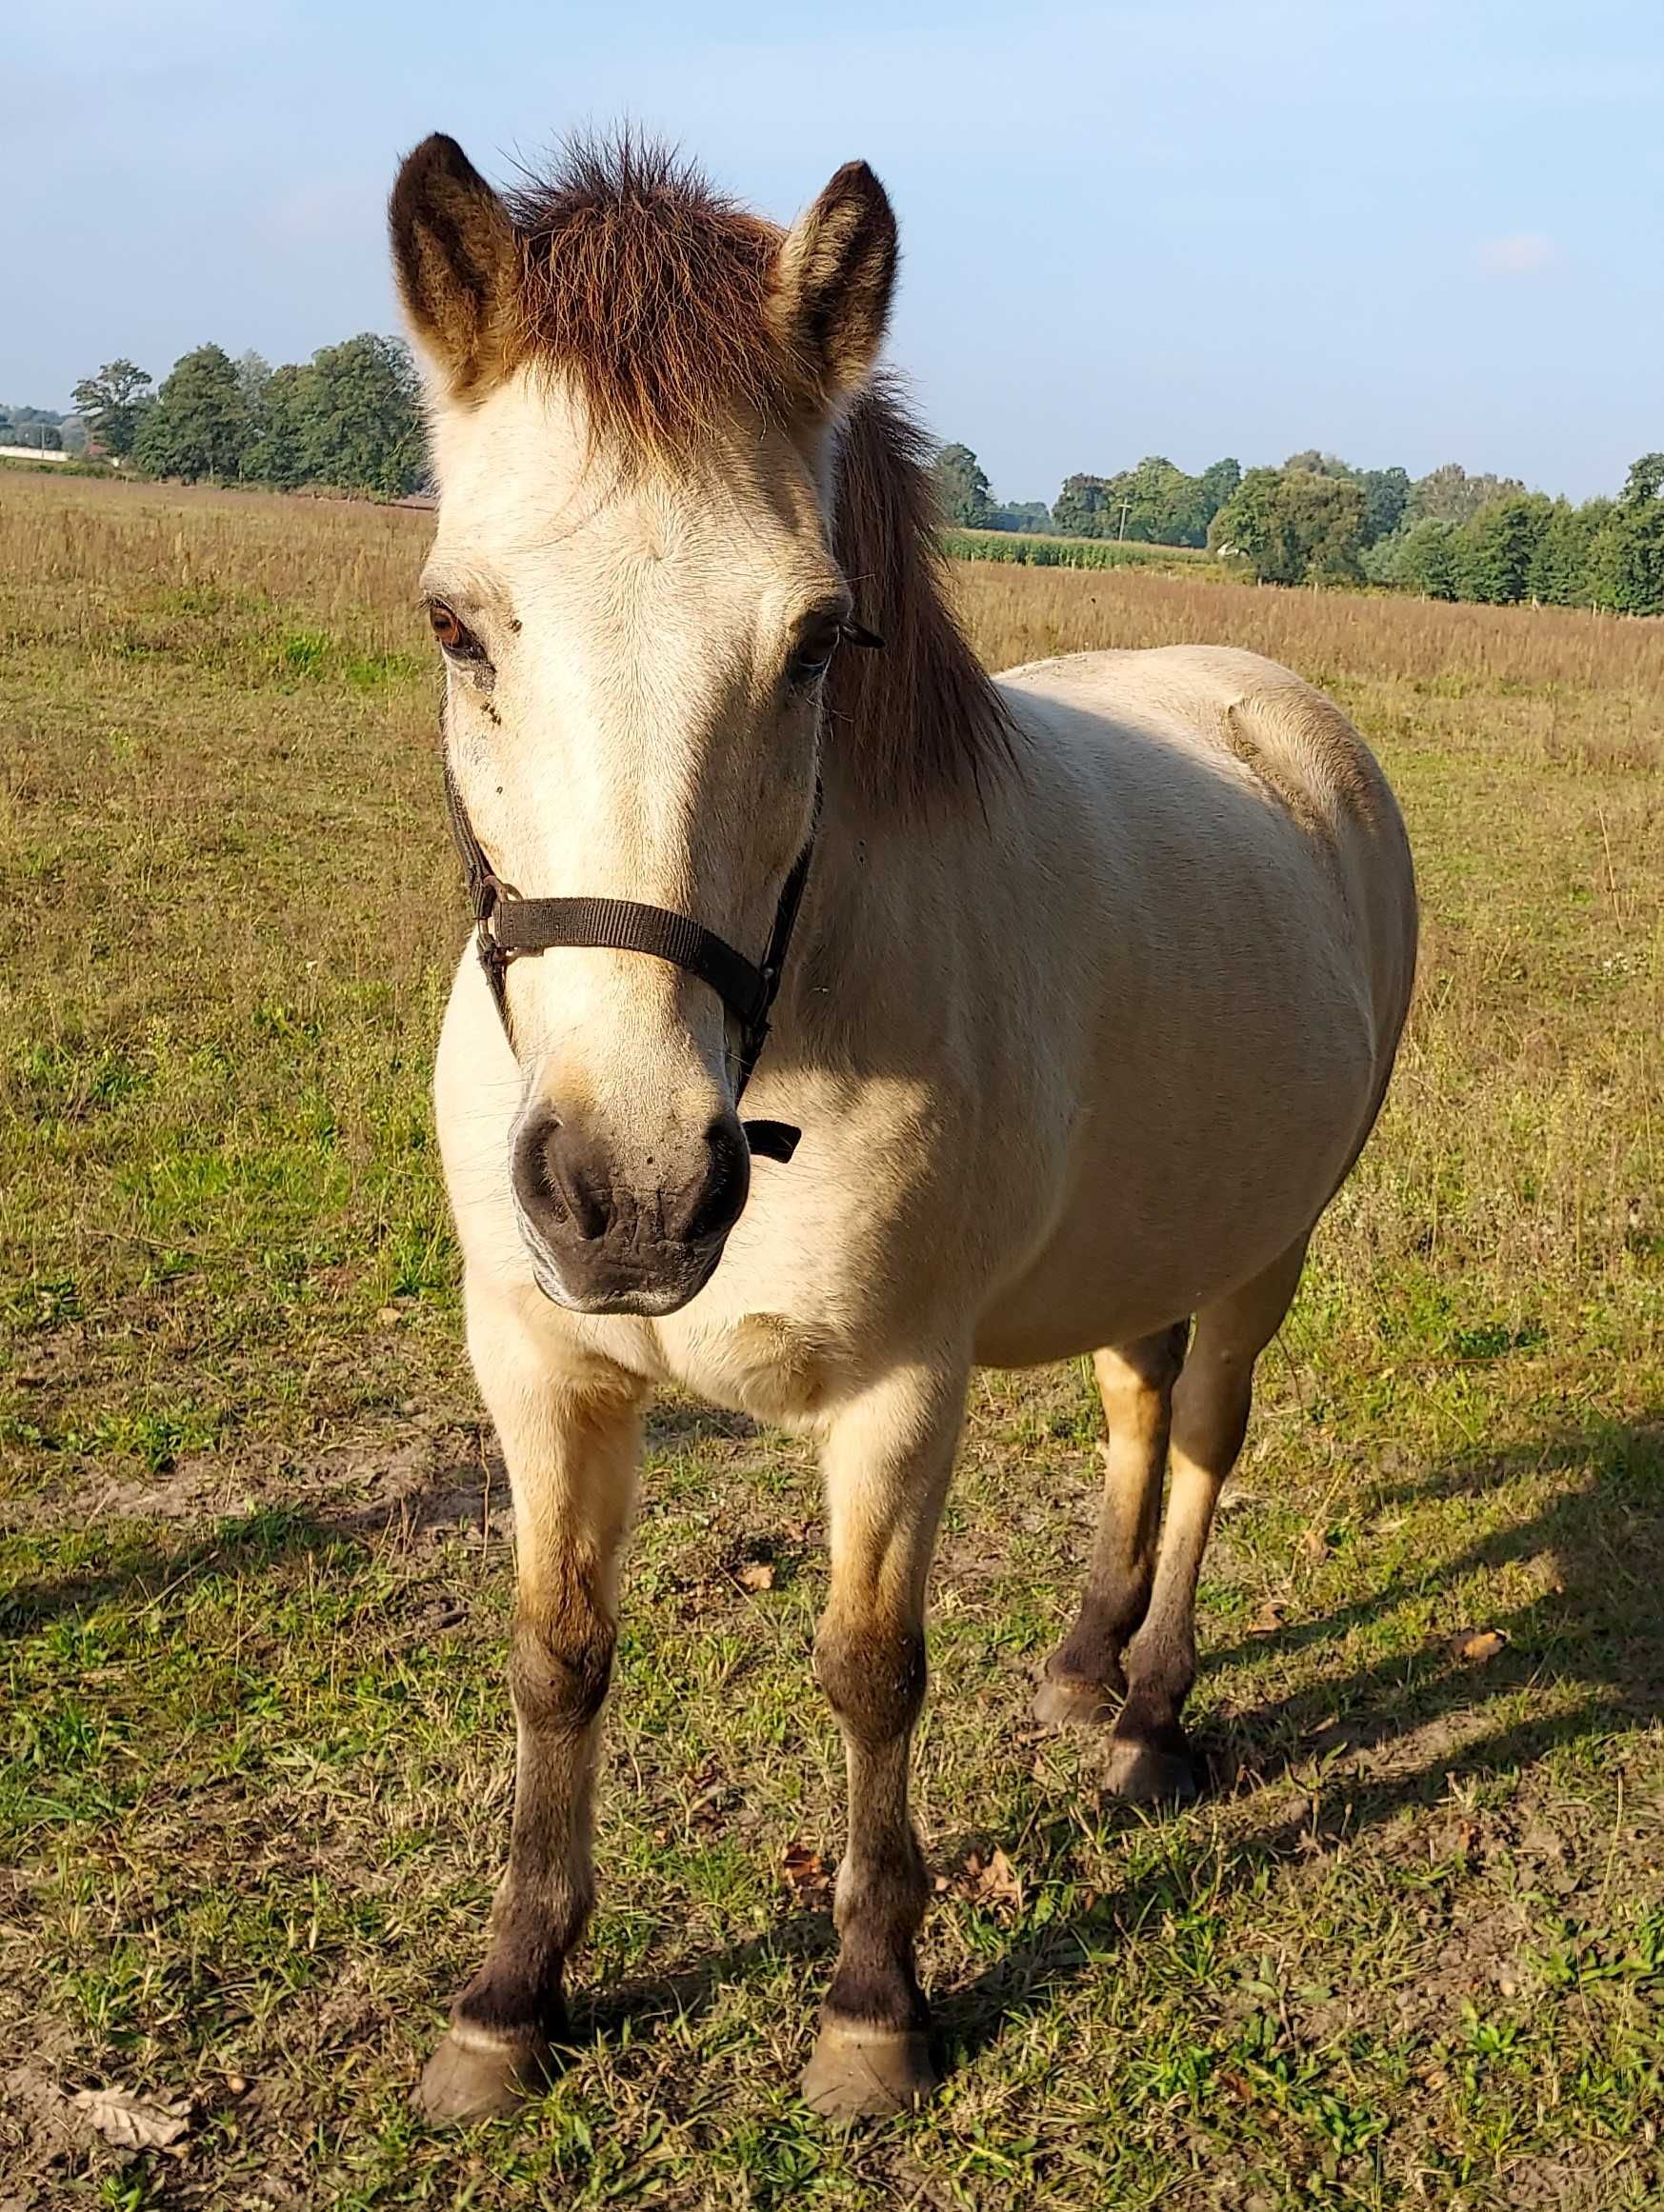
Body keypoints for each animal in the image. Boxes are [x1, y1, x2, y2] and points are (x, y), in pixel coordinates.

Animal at [387, 125, 1415, 2123]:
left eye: (812, 640)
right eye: (457, 625)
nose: (630, 1192)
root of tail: (1281, 709)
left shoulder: (894, 1393)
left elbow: (869, 1670)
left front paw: (872, 2000)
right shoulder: (543, 1370)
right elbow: (557, 1658)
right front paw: (510, 1992)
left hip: (1271, 1246)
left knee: (1202, 1440)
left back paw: (1148, 1712)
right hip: (1138, 1241)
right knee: (1135, 1406)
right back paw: (1085, 1661)